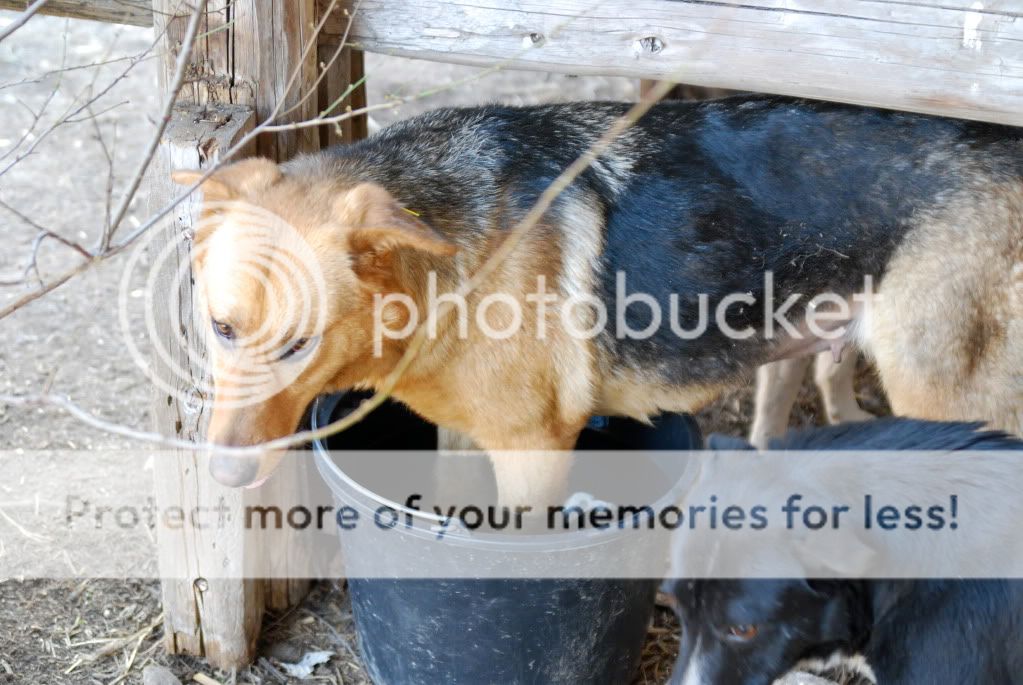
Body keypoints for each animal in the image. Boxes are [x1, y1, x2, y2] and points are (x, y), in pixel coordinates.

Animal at [175, 98, 1023, 509]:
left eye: (299, 344)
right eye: (221, 328)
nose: (221, 476)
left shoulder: (534, 452)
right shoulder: (464, 436)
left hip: (952, 403)